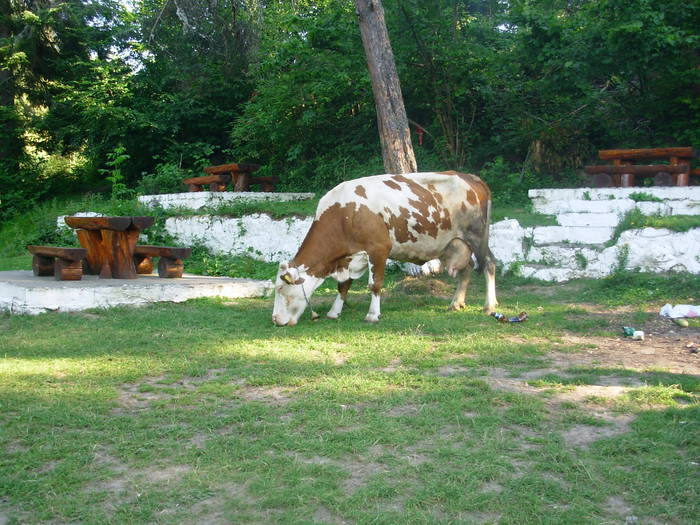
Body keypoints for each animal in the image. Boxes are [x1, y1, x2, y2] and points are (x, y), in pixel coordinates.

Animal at [274, 171, 498, 324]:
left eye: (281, 288)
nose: (275, 319)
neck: (346, 214)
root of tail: (471, 177)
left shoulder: (379, 249)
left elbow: (375, 284)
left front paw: (373, 314)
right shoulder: (349, 257)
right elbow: (344, 285)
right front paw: (334, 311)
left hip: (477, 236)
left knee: (488, 264)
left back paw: (489, 306)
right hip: (455, 243)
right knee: (467, 268)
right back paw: (456, 303)